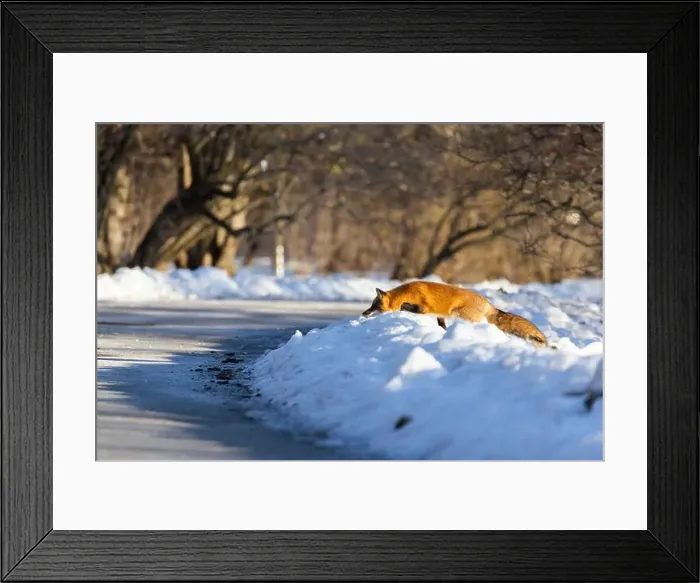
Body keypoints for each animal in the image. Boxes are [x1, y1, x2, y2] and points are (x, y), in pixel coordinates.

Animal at [361, 280, 548, 348]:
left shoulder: (424, 307)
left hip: (460, 313)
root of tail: (488, 304)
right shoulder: (440, 315)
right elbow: (441, 325)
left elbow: (403, 307)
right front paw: (443, 333)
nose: (363, 313)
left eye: (373, 305)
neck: (404, 293)